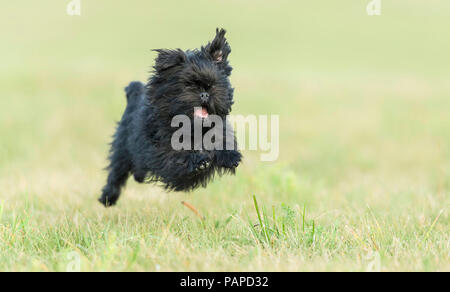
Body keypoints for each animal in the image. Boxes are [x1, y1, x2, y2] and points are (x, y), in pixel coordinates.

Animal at [99, 28, 243, 206]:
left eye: (213, 85)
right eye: (188, 85)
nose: (204, 93)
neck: (194, 129)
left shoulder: (220, 131)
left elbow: (222, 142)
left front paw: (230, 156)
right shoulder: (163, 152)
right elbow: (178, 157)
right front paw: (199, 161)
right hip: (122, 149)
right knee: (117, 172)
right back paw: (108, 197)